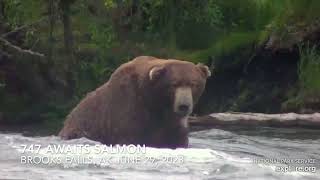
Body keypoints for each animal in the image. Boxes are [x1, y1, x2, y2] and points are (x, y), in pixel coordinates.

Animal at [58, 56, 211, 148]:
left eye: (193, 84)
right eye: (173, 84)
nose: (184, 106)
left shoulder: (172, 122)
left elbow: (177, 139)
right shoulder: (129, 107)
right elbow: (129, 136)